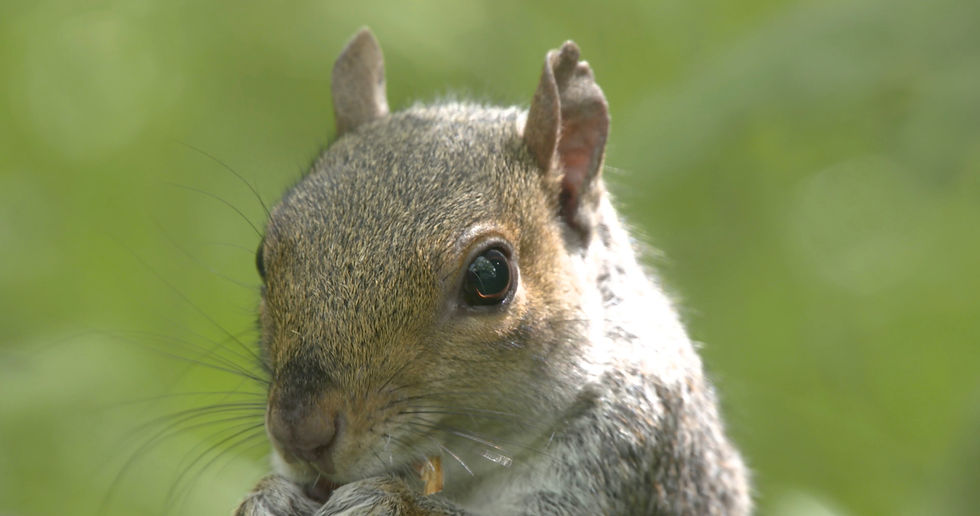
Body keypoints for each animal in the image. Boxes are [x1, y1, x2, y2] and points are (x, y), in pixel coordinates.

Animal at [235, 28, 750, 516]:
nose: (298, 433)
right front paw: (267, 497)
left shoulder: (634, 444)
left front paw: (388, 501)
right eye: (262, 258)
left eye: (490, 276)